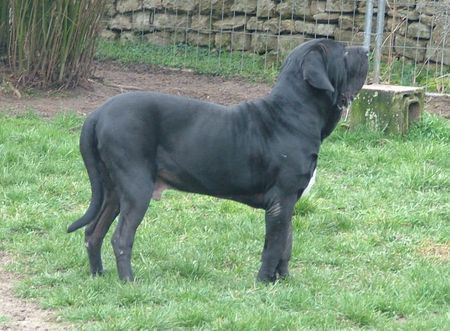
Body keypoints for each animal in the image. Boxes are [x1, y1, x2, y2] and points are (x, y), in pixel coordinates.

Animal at [67, 39, 370, 282]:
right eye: (344, 52)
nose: (367, 49)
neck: (292, 112)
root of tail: (97, 114)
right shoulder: (281, 200)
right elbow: (273, 246)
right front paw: (264, 282)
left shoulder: (290, 201)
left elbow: (287, 243)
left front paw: (283, 280)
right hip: (135, 187)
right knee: (121, 237)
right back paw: (128, 281)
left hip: (113, 190)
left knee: (93, 233)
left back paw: (98, 275)